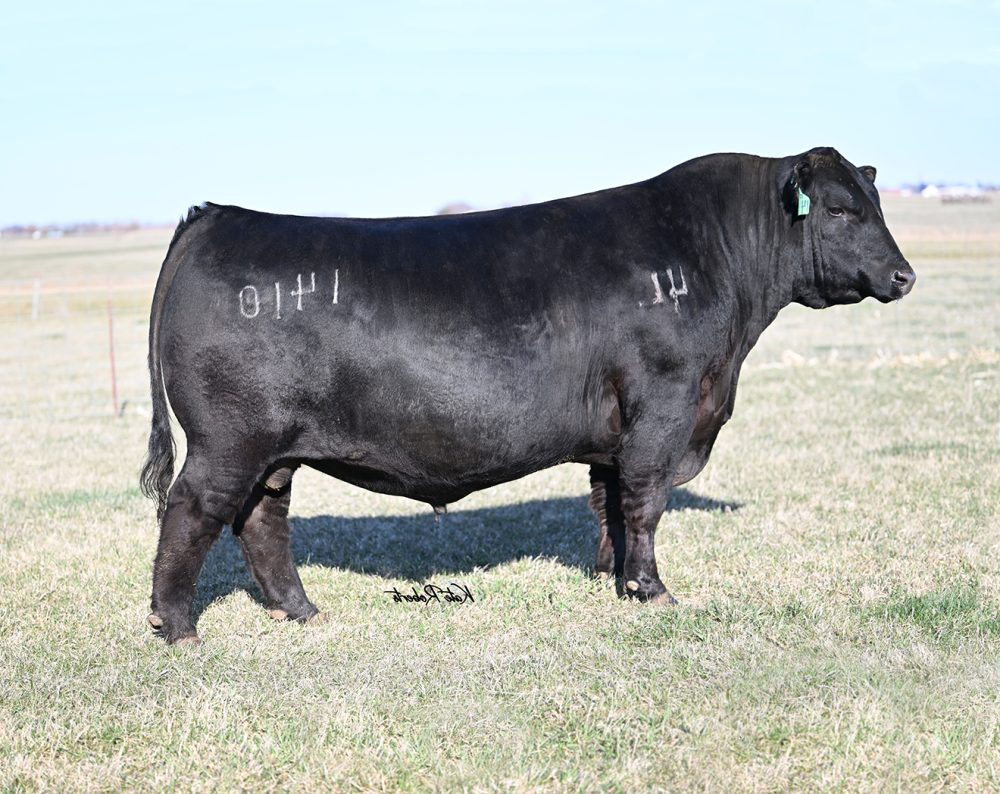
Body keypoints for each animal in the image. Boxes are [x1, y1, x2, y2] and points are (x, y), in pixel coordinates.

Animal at [140, 147, 915, 644]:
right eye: (839, 210)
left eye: (875, 202)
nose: (905, 276)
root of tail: (218, 215)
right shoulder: (663, 409)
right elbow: (646, 502)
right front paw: (653, 591)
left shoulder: (616, 432)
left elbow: (610, 503)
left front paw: (613, 581)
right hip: (228, 438)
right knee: (192, 511)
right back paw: (176, 629)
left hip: (271, 450)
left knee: (261, 519)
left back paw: (300, 612)